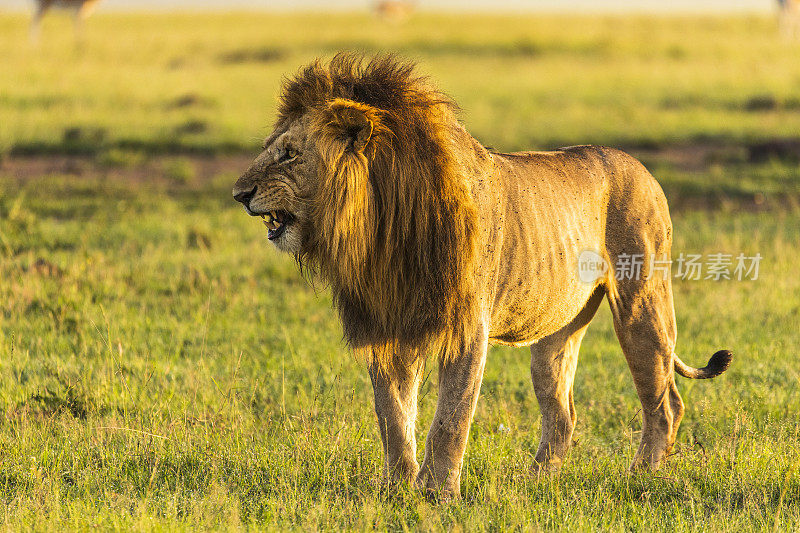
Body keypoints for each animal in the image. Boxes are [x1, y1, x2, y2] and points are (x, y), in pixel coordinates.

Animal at [231, 55, 732, 498]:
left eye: (289, 154)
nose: (238, 193)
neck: (378, 226)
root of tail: (644, 169)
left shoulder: (466, 326)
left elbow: (450, 419)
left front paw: (437, 494)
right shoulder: (388, 325)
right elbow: (392, 416)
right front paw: (396, 489)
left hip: (641, 301)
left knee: (666, 403)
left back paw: (638, 477)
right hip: (557, 329)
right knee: (563, 412)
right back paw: (534, 482)